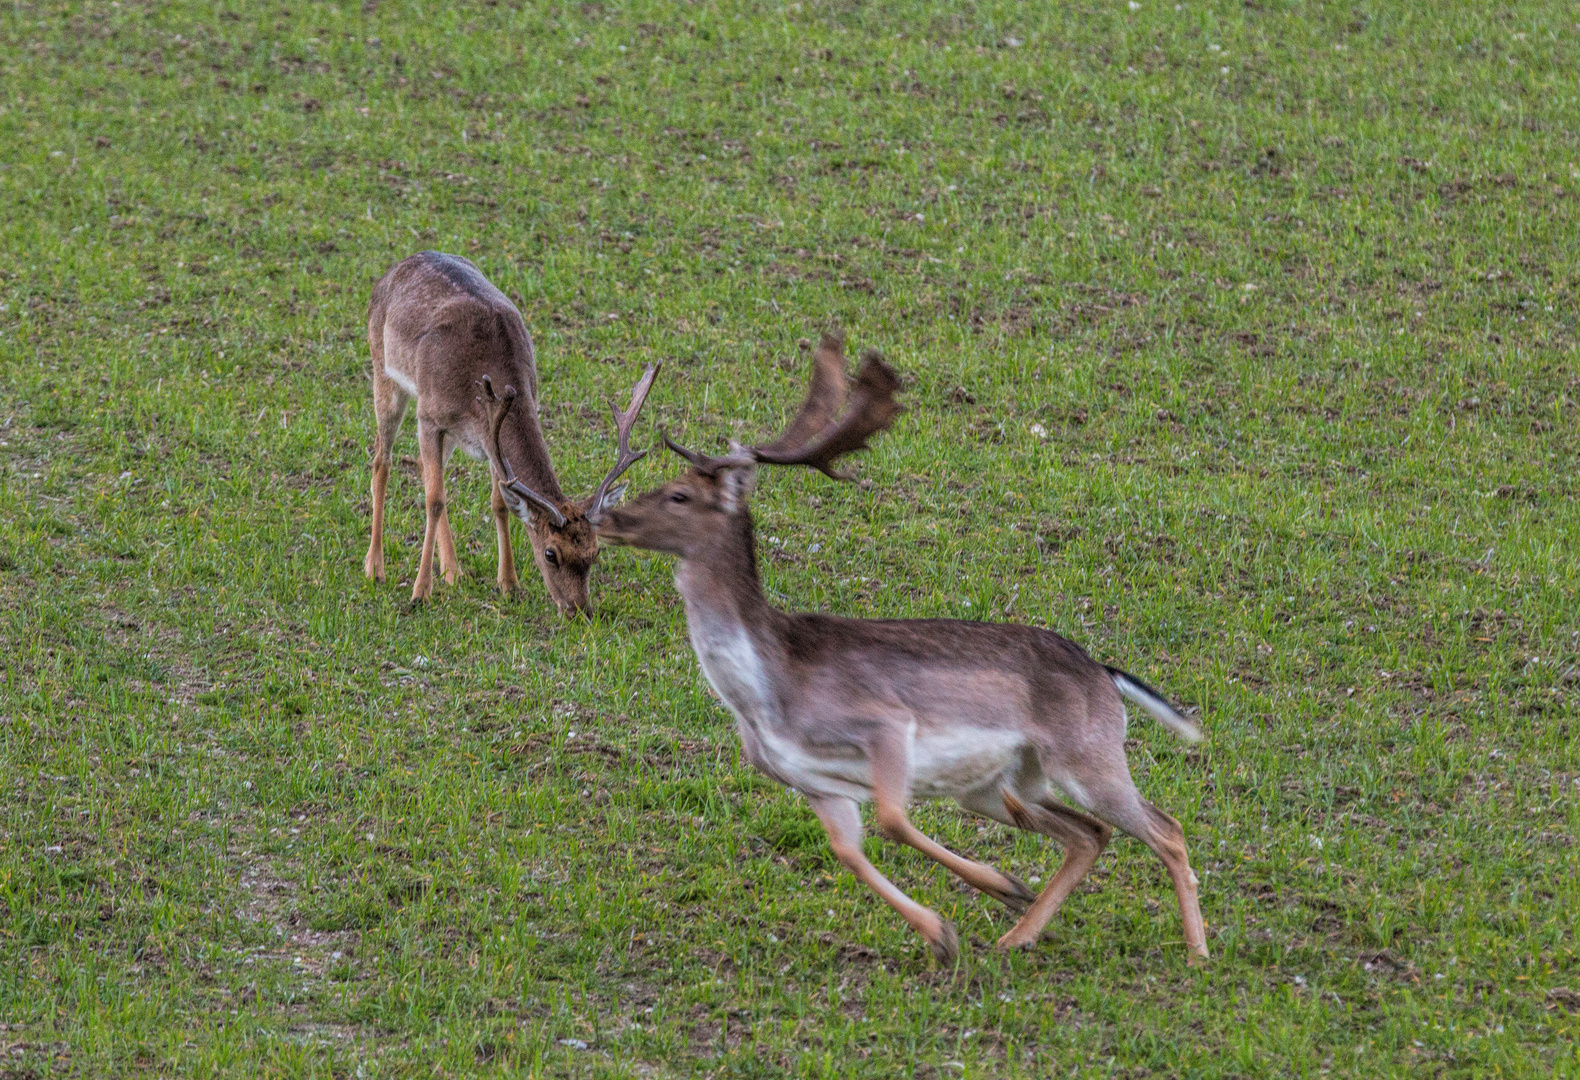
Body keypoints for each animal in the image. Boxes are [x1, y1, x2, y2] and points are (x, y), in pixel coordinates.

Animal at [361, 247, 654, 612]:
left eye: (595, 552)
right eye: (551, 554)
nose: (579, 611)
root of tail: (393, 270)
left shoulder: (489, 436)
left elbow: (498, 502)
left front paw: (510, 585)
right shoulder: (428, 415)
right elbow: (434, 500)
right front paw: (420, 592)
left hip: (449, 433)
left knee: (423, 468)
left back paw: (453, 571)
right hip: (384, 373)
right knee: (381, 460)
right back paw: (375, 567)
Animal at [594, 333, 1207, 966]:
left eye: (679, 494)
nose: (604, 517)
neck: (768, 694)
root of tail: (1104, 672)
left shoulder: (885, 723)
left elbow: (892, 819)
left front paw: (996, 886)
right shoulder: (809, 781)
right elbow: (849, 851)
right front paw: (944, 931)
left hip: (1086, 753)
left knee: (1164, 828)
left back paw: (1196, 954)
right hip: (1005, 786)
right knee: (1090, 833)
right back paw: (1017, 936)